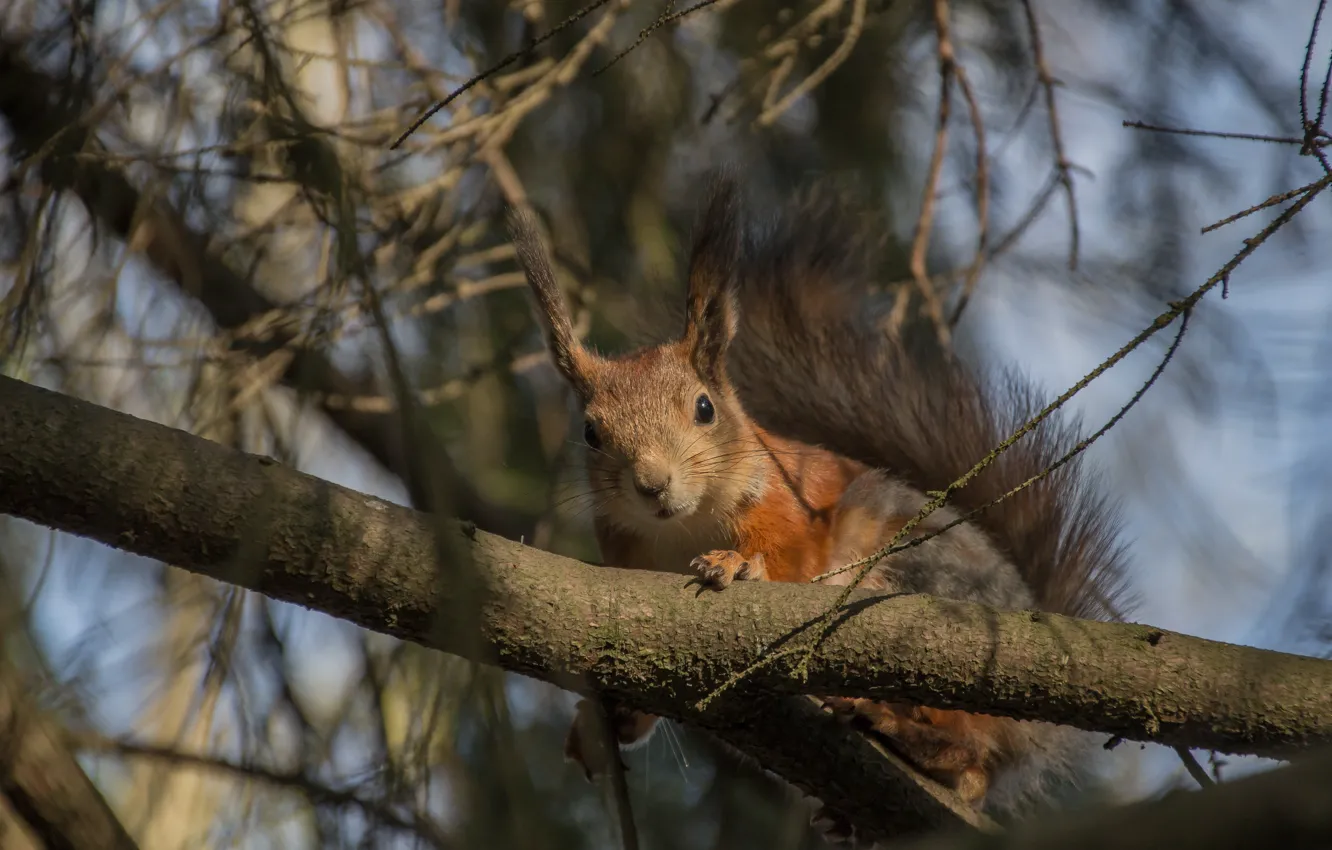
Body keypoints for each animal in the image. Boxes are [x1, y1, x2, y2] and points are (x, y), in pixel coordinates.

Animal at [508, 174, 1134, 831]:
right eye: (590, 432)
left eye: (705, 408)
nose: (652, 484)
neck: (681, 527)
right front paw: (609, 719)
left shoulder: (788, 505)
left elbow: (790, 559)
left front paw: (737, 565)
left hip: (921, 584)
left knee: (972, 761)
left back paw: (911, 736)